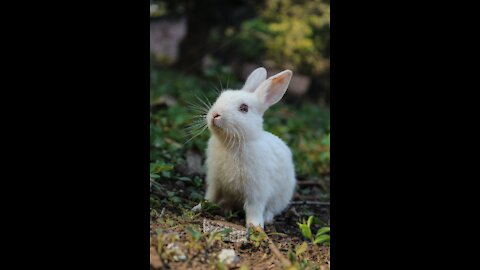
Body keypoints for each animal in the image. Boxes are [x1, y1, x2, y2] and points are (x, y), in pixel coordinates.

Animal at [192, 67, 296, 228]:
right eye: (220, 97)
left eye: (244, 108)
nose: (215, 114)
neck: (231, 143)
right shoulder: (215, 181)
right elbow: (210, 197)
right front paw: (197, 208)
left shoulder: (257, 190)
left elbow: (254, 208)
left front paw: (255, 226)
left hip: (281, 197)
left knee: (272, 209)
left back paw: (266, 218)